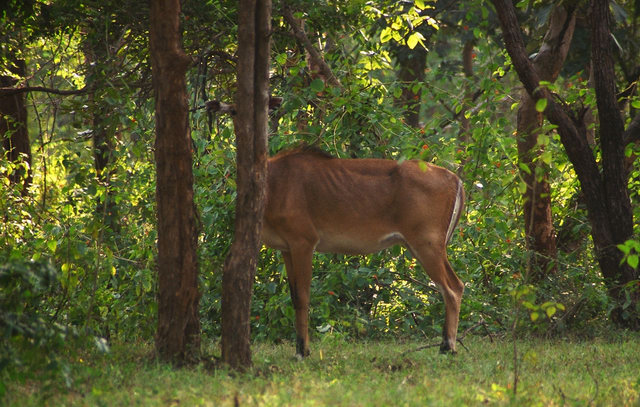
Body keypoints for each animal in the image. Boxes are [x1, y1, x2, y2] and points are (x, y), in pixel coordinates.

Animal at [210, 100, 464, 358]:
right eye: (233, 112)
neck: (271, 182)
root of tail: (456, 179)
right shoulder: (286, 247)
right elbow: (294, 296)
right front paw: (300, 348)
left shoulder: (304, 241)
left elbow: (303, 296)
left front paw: (303, 350)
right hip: (419, 244)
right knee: (452, 286)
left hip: (427, 242)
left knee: (453, 287)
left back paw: (448, 346)